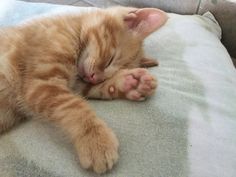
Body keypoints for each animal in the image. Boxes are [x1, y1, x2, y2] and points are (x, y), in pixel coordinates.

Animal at [0, 6, 167, 173]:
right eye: (110, 60)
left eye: (105, 77)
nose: (94, 78)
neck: (76, 29)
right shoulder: (41, 83)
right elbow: (74, 106)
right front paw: (95, 140)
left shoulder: (77, 84)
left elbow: (90, 91)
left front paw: (130, 82)